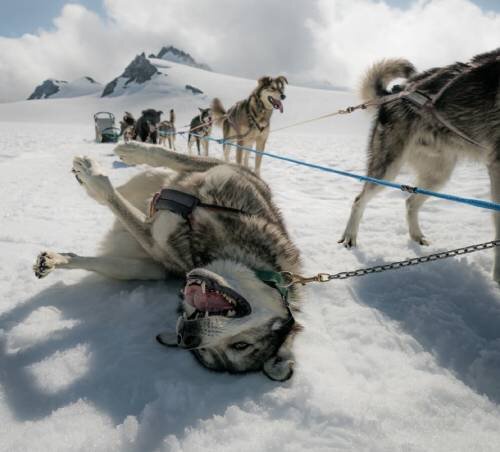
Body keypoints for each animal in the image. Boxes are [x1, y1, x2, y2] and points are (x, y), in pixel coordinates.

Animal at [34, 143, 304, 380]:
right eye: (241, 345)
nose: (187, 337)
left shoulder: (152, 236)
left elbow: (112, 197)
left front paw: (94, 178)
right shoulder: (230, 170)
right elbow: (165, 154)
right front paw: (130, 150)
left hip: (143, 268)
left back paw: (58, 260)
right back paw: (55, 260)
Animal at [340, 49, 500, 280]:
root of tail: (395, 93)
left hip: (438, 175)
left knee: (410, 202)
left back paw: (417, 236)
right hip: (388, 169)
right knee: (359, 199)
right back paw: (350, 237)